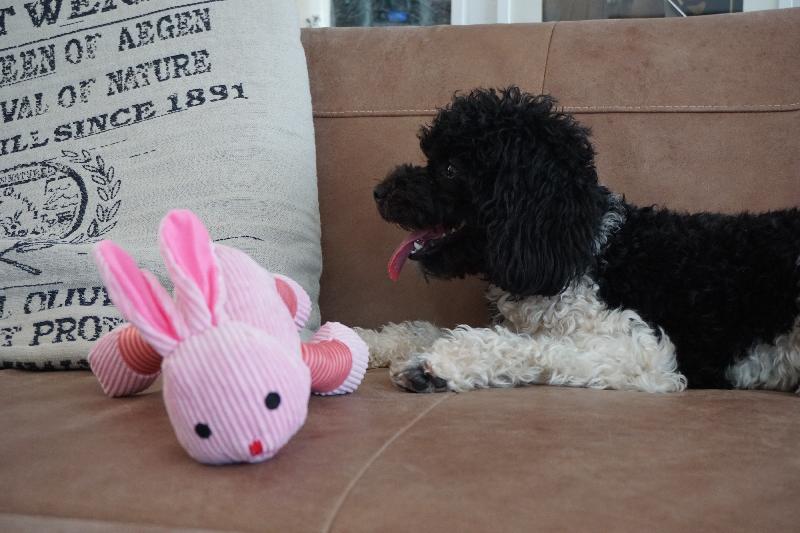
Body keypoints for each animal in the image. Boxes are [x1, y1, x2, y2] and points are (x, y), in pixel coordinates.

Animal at [358, 86, 800, 394]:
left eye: (449, 169)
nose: (378, 192)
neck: (578, 251)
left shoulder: (646, 351)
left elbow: (528, 346)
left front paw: (436, 366)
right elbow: (425, 328)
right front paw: (369, 340)